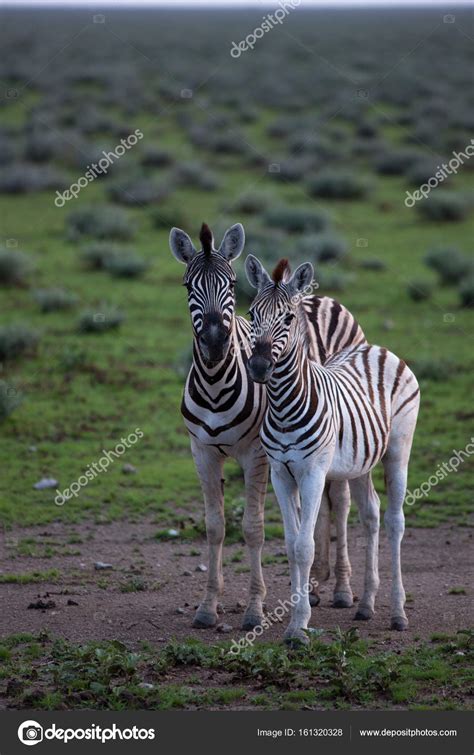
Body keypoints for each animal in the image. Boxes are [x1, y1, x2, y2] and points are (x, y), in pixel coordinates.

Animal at [170, 224, 366, 632]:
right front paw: (207, 607)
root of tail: (318, 296)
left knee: (340, 503)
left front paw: (254, 610)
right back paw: (314, 585)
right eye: (187, 285)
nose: (216, 342)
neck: (215, 384)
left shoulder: (256, 455)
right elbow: (215, 527)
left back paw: (341, 588)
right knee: (317, 507)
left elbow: (253, 528)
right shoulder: (202, 453)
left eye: (230, 283)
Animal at [246, 254, 420, 644]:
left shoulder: (312, 473)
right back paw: (366, 605)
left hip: (398, 450)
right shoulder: (281, 473)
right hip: (360, 462)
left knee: (395, 521)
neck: (282, 406)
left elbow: (305, 546)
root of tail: (376, 348)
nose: (259, 367)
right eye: (251, 314)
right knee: (371, 513)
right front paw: (296, 618)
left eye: (288, 318)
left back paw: (398, 613)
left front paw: (299, 627)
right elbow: (291, 544)